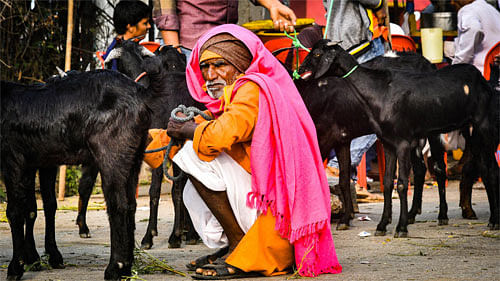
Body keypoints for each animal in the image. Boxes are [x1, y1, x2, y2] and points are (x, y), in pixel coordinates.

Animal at [0, 70, 151, 278]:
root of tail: (140, 96)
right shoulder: (35, 163)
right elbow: (32, 208)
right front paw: (34, 259)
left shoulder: (12, 158)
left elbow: (14, 211)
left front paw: (16, 267)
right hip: (134, 157)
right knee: (130, 205)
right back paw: (127, 268)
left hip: (112, 153)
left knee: (117, 205)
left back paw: (115, 268)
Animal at [298, 40, 498, 236]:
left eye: (317, 53)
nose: (300, 69)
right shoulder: (386, 142)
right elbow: (385, 182)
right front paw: (381, 225)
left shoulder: (399, 142)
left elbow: (401, 183)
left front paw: (400, 228)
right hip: (466, 131)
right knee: (468, 167)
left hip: (474, 127)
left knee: (471, 169)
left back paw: (471, 218)